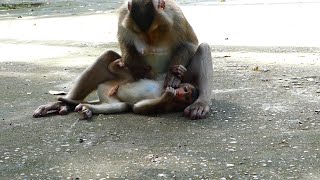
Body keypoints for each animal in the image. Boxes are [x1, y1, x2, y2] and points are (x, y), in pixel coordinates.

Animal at [57, 58, 198, 119]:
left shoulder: (171, 106)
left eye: (186, 98)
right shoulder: (163, 80)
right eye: (186, 90)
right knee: (125, 75)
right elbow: (160, 75)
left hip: (108, 94)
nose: (181, 94)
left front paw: (168, 95)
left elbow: (139, 108)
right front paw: (177, 71)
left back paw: (86, 108)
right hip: (116, 82)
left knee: (120, 106)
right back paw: (116, 64)